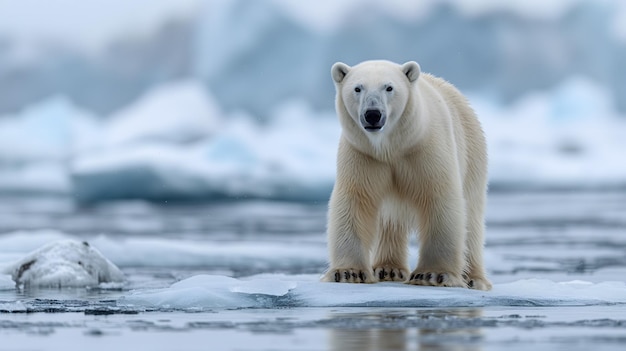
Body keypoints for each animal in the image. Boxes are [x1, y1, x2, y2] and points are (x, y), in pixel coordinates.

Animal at [322, 60, 492, 292]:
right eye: (357, 88)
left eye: (389, 87)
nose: (373, 114)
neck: (392, 146)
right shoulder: (364, 155)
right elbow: (355, 200)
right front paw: (348, 272)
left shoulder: (425, 149)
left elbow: (439, 199)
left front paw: (432, 275)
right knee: (390, 221)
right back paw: (388, 269)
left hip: (472, 152)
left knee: (472, 218)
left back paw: (474, 279)